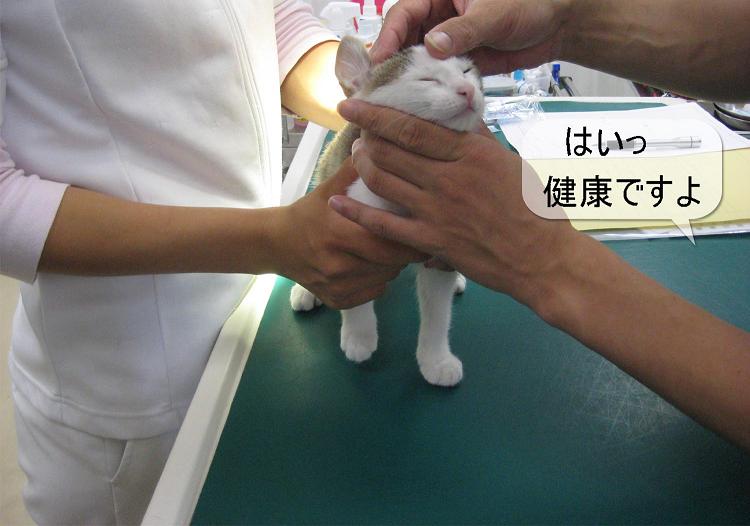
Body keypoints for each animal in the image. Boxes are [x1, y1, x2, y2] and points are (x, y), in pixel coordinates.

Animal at [290, 36, 484, 387]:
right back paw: (305, 290)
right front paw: (359, 335)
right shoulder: (348, 229)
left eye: (467, 71)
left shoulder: (442, 236)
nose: (467, 90)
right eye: (426, 80)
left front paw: (435, 358)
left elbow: (438, 311)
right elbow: (351, 291)